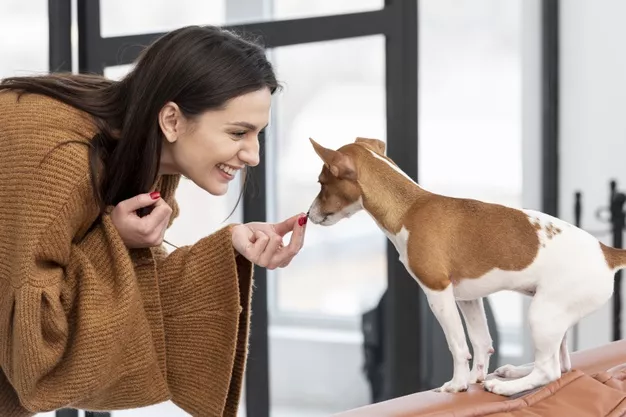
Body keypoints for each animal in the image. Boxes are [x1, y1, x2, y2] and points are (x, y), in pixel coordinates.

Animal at [304, 137, 620, 396]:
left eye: (321, 183)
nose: (307, 214)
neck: (409, 208)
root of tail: (608, 253)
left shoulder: (438, 293)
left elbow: (457, 345)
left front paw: (457, 384)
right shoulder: (469, 298)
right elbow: (481, 341)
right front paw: (474, 378)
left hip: (543, 315)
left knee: (550, 370)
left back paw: (507, 387)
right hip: (556, 318)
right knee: (562, 363)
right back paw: (513, 371)